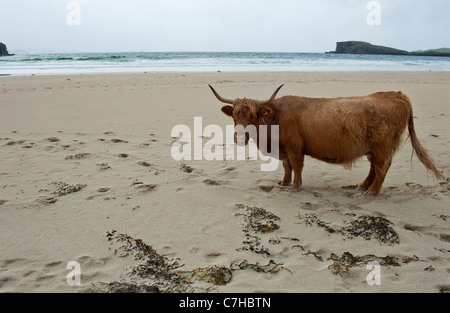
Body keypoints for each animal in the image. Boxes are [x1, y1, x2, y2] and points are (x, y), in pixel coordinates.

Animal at [210, 84, 442, 194]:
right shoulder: (285, 150)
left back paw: (372, 192)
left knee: (382, 168)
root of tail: (397, 94)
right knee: (374, 168)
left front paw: (295, 187)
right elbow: (287, 167)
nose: (240, 136)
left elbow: (296, 166)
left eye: (252, 116)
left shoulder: (295, 147)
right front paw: (284, 183)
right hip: (373, 149)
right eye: (235, 115)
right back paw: (362, 186)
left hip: (382, 148)